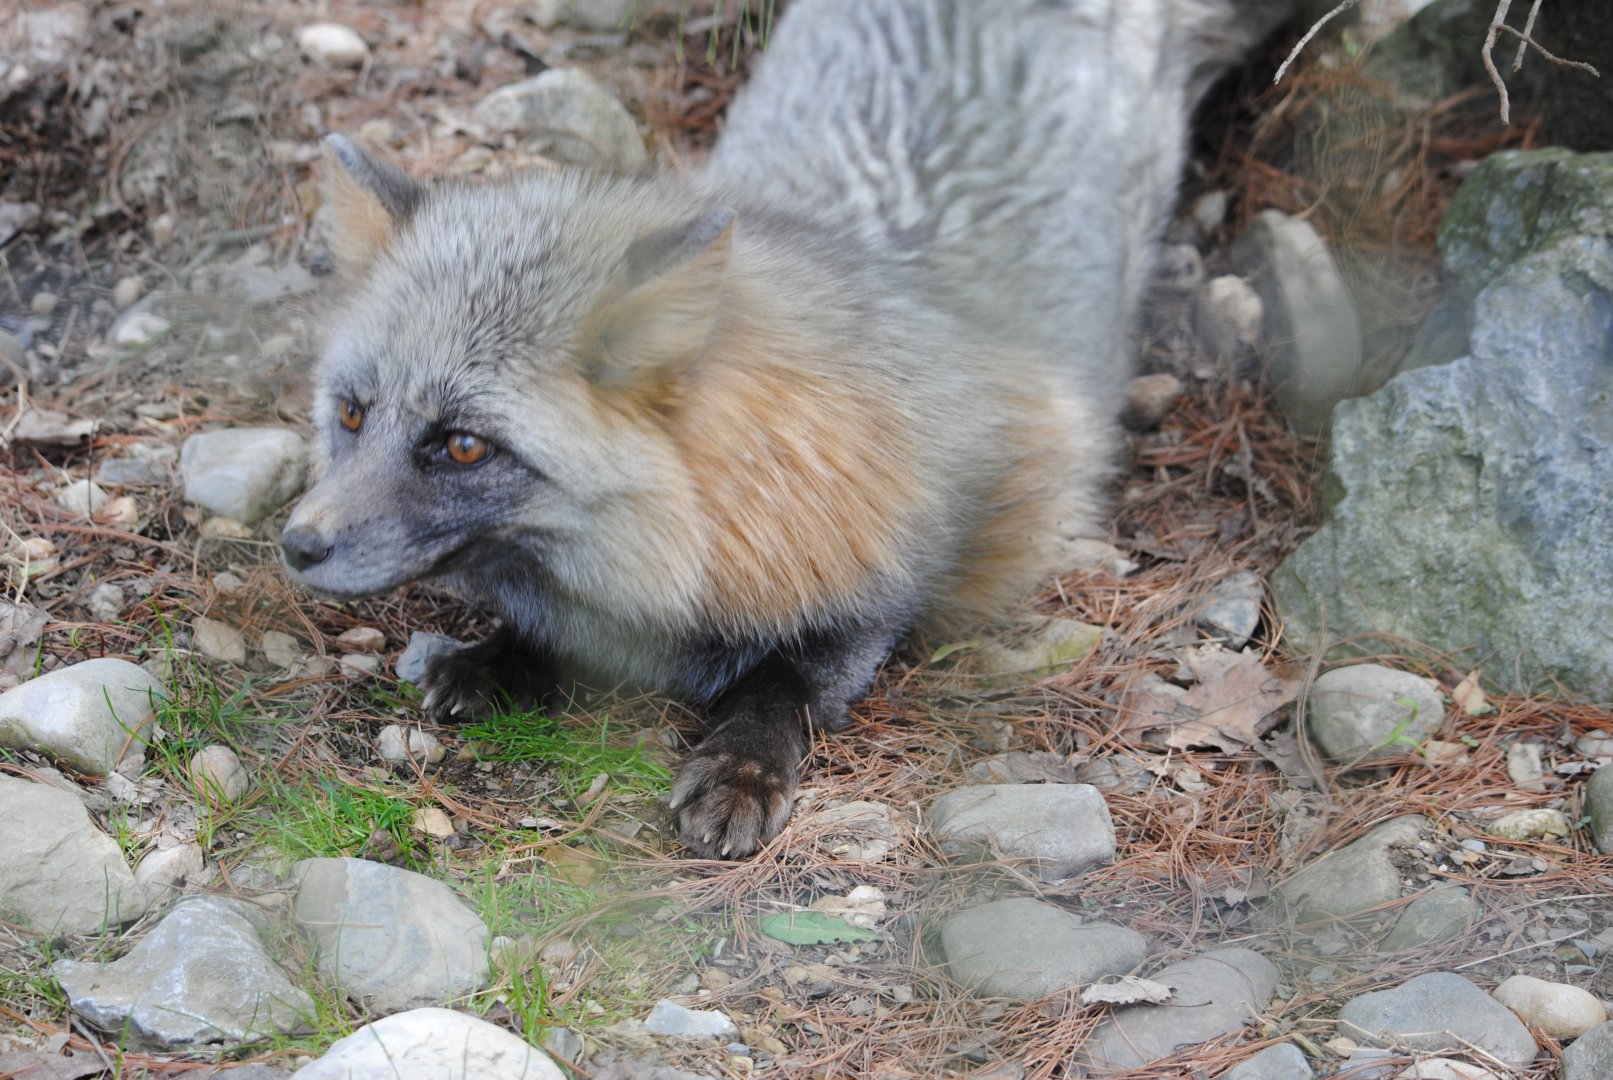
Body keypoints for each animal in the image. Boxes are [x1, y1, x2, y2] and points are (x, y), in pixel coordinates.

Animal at [281, 0, 1295, 858]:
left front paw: (740, 766)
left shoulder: (886, 585)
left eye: (461, 445)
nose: (297, 544)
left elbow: (784, 687)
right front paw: (500, 656)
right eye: (352, 414)